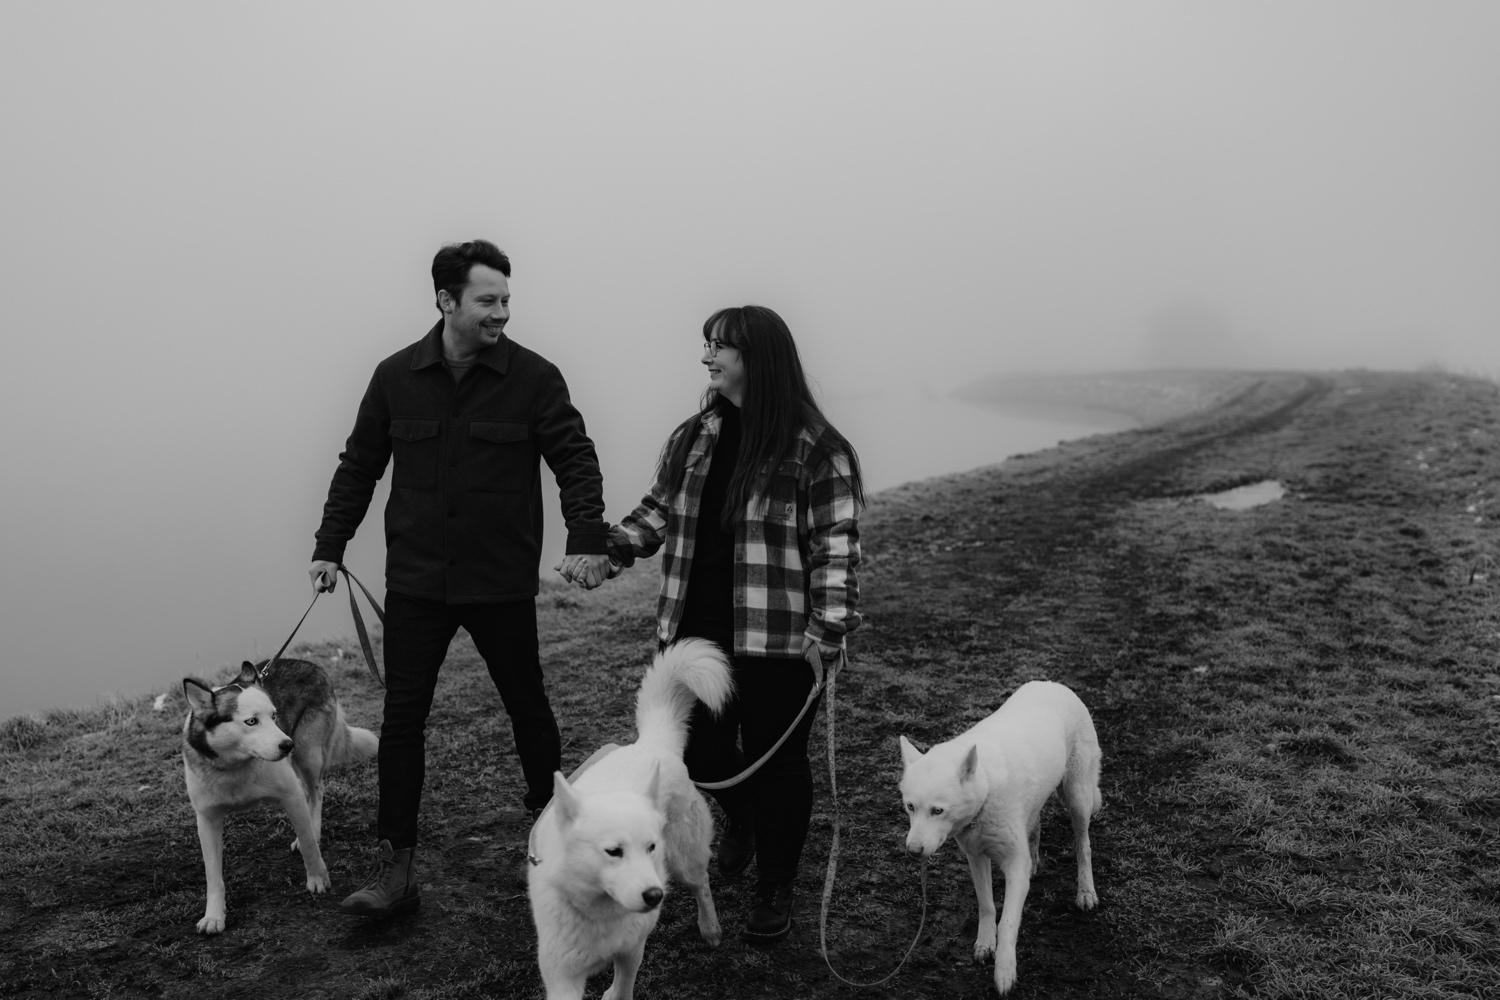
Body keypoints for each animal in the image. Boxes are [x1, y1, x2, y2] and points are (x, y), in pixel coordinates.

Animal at [531, 641, 735, 1000]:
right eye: (613, 851)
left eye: (650, 847)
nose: (655, 896)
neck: (601, 912)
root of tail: (650, 744)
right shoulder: (561, 975)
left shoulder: (631, 951)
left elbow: (622, 989)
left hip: (683, 861)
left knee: (702, 884)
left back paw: (710, 929)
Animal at [900, 677, 1104, 995]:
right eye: (910, 806)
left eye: (937, 810)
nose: (913, 851)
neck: (985, 789)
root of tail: (1052, 683)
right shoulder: (976, 857)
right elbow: (987, 906)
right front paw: (985, 945)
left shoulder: (1014, 865)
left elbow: (1008, 921)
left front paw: (1005, 971)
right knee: (1035, 826)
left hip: (1078, 798)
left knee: (1083, 845)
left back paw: (1085, 891)